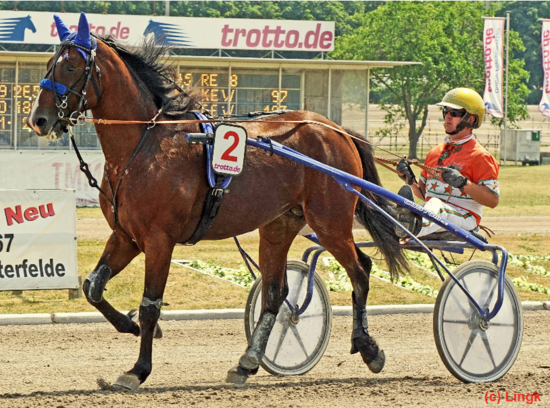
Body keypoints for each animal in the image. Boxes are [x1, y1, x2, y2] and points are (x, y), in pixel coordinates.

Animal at [28, 11, 410, 388]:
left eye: (71, 66)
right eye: (47, 64)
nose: (38, 120)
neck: (145, 146)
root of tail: (336, 130)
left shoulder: (159, 239)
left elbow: (151, 304)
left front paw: (138, 369)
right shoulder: (126, 236)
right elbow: (93, 287)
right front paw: (129, 324)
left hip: (330, 221)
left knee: (361, 271)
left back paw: (369, 348)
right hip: (280, 225)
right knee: (276, 293)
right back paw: (247, 362)